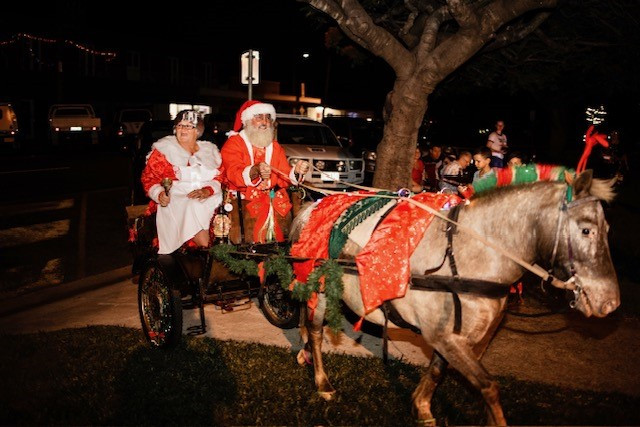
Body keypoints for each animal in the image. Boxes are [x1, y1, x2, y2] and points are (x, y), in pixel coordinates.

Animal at [290, 170, 620, 424]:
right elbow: (488, 387)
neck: (468, 255)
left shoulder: (452, 336)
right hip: (318, 288)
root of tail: (313, 205)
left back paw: (304, 353)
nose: (610, 301)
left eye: (608, 228)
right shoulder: (445, 336)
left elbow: (437, 370)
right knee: (316, 331)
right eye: (587, 230)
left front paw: (421, 407)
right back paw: (322, 381)